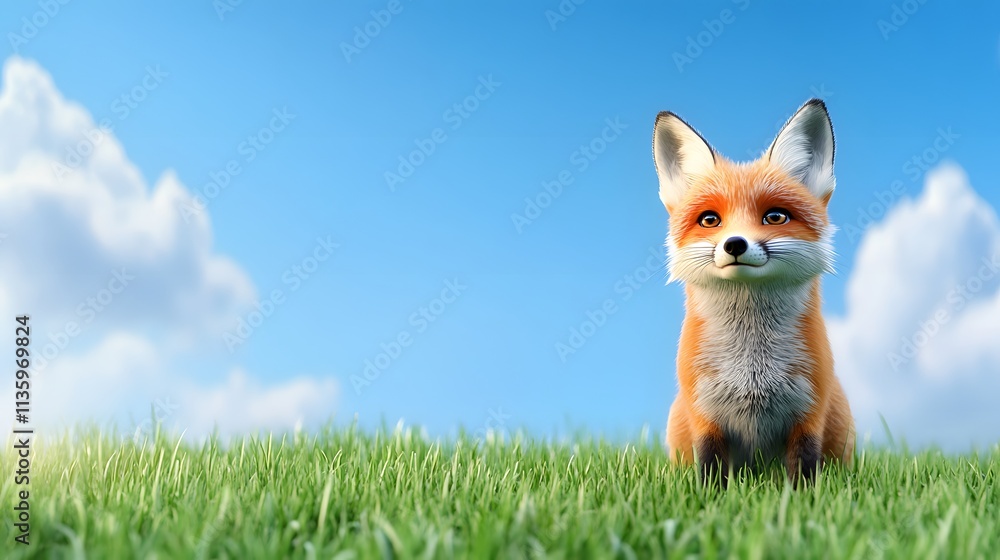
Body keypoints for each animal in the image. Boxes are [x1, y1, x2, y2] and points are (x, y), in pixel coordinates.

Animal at [652, 99, 854, 485]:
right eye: (710, 220)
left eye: (775, 217)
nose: (735, 244)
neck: (751, 369)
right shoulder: (704, 413)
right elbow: (710, 470)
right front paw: (709, 497)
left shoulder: (809, 411)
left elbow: (804, 469)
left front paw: (803, 499)